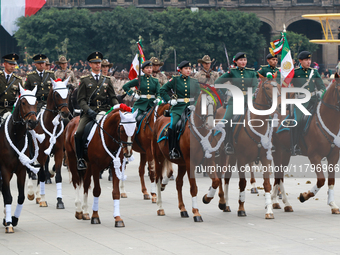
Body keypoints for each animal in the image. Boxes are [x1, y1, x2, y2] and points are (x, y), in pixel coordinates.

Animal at [0, 86, 38, 233]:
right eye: (23, 102)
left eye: (36, 102)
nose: (33, 121)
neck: (15, 136)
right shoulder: (5, 170)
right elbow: (8, 196)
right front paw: (9, 223)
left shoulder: (21, 170)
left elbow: (20, 197)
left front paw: (13, 219)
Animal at [26, 78, 70, 209]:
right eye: (57, 94)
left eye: (68, 93)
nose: (65, 113)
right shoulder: (41, 152)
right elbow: (39, 173)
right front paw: (42, 198)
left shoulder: (59, 151)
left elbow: (58, 175)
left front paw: (59, 201)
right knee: (30, 169)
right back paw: (31, 192)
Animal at [151, 90, 223, 222]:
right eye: (203, 106)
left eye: (214, 105)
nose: (210, 125)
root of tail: (160, 118)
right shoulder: (191, 163)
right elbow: (193, 187)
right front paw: (196, 212)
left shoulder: (208, 161)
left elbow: (216, 181)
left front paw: (207, 198)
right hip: (159, 159)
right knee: (158, 179)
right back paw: (160, 207)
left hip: (181, 164)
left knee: (178, 182)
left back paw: (183, 209)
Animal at [215, 76, 282, 218]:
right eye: (267, 87)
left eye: (279, 86)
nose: (279, 105)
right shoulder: (241, 159)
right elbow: (242, 183)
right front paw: (241, 209)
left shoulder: (266, 158)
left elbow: (267, 183)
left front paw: (269, 210)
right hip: (222, 154)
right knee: (222, 175)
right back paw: (223, 202)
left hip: (232, 156)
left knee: (227, 176)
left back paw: (227, 204)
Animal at [270, 74, 340, 215]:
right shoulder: (314, 156)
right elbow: (321, 180)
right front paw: (304, 196)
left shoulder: (334, 157)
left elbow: (331, 181)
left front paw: (333, 204)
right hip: (277, 151)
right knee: (278, 174)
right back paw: (280, 202)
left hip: (285, 152)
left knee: (279, 174)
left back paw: (278, 202)